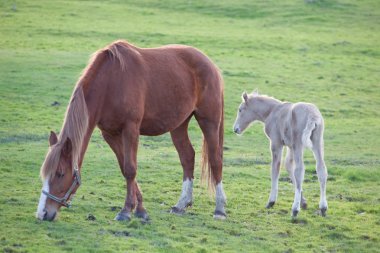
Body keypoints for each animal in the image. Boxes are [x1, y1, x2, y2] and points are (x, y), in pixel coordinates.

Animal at [36, 40, 226, 221]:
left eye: (60, 174)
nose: (42, 213)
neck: (111, 82)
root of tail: (210, 64)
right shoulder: (110, 134)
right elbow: (124, 167)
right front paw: (140, 209)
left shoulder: (131, 129)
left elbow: (130, 169)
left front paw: (127, 211)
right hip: (179, 125)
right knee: (187, 157)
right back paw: (181, 204)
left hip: (208, 121)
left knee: (215, 159)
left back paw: (220, 209)